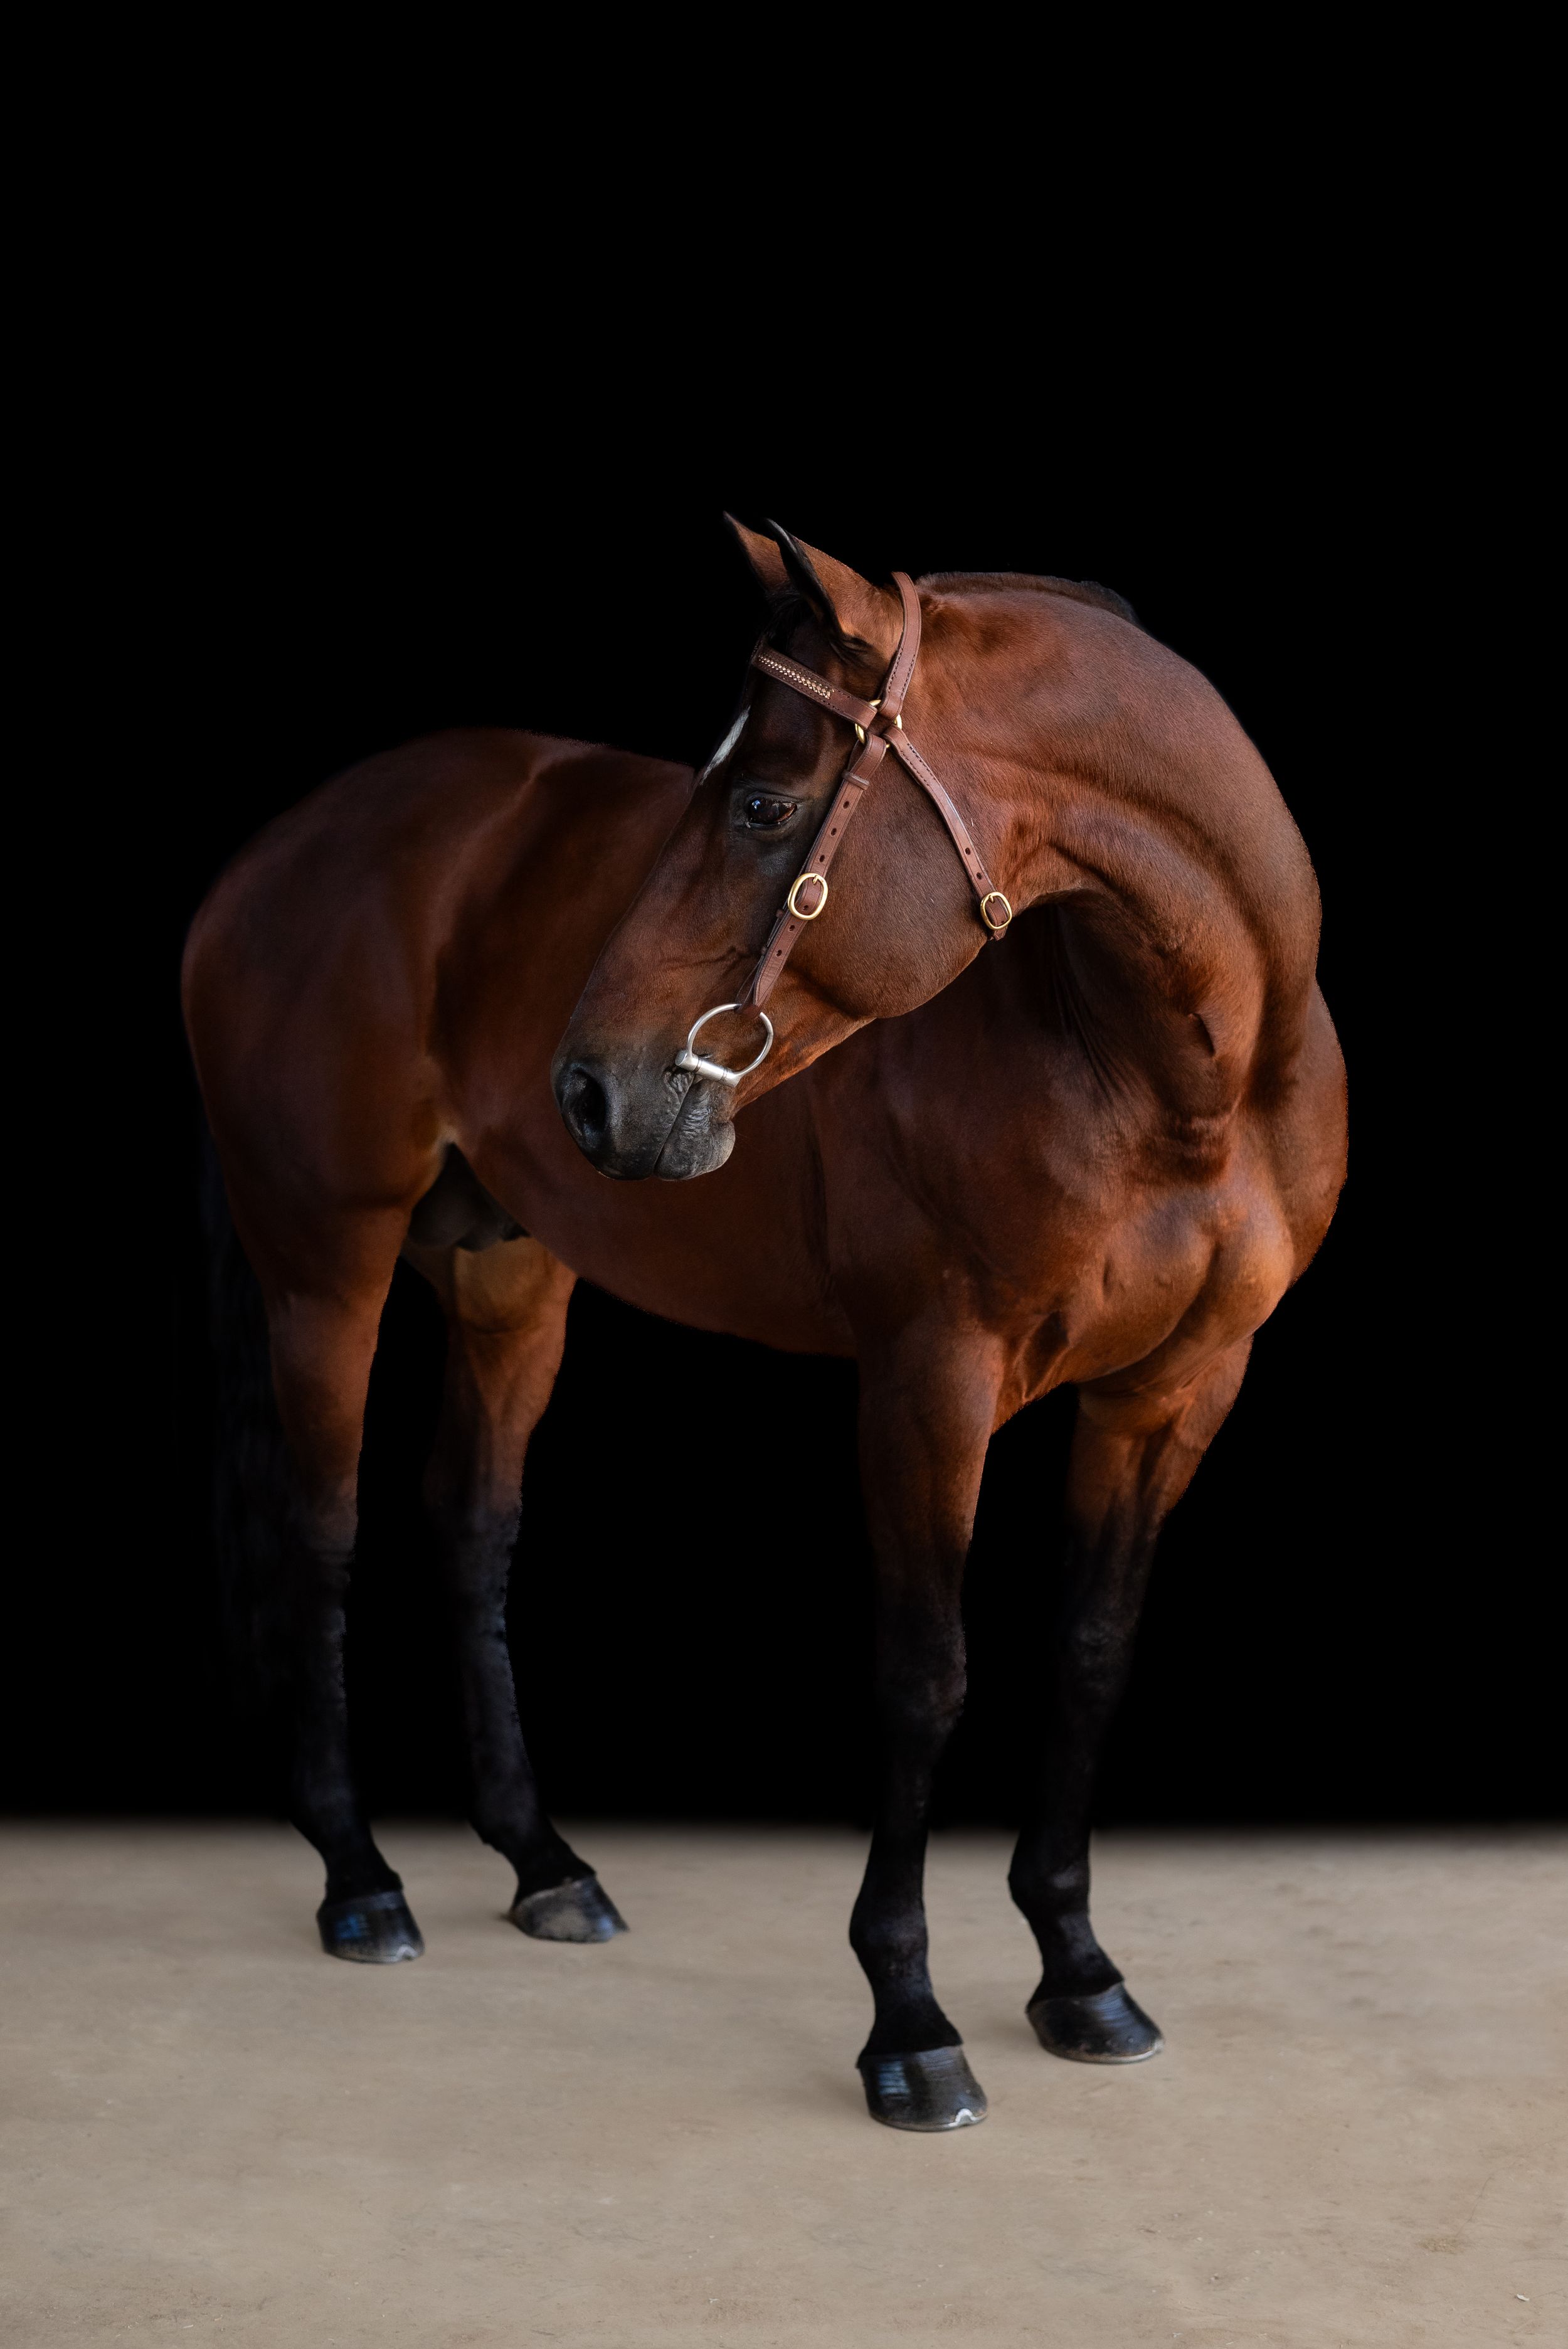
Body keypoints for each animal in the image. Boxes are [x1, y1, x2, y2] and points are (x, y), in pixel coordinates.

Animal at [183, 519, 1345, 2132]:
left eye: (763, 802)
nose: (589, 1087)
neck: (1166, 1071)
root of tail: (276, 851)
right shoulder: (930, 1382)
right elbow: (924, 1678)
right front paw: (910, 2023)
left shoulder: (1179, 1390)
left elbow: (1092, 1655)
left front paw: (1079, 1972)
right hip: (324, 1267)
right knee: (320, 1531)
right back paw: (359, 1879)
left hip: (508, 1276)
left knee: (470, 1528)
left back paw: (545, 1865)